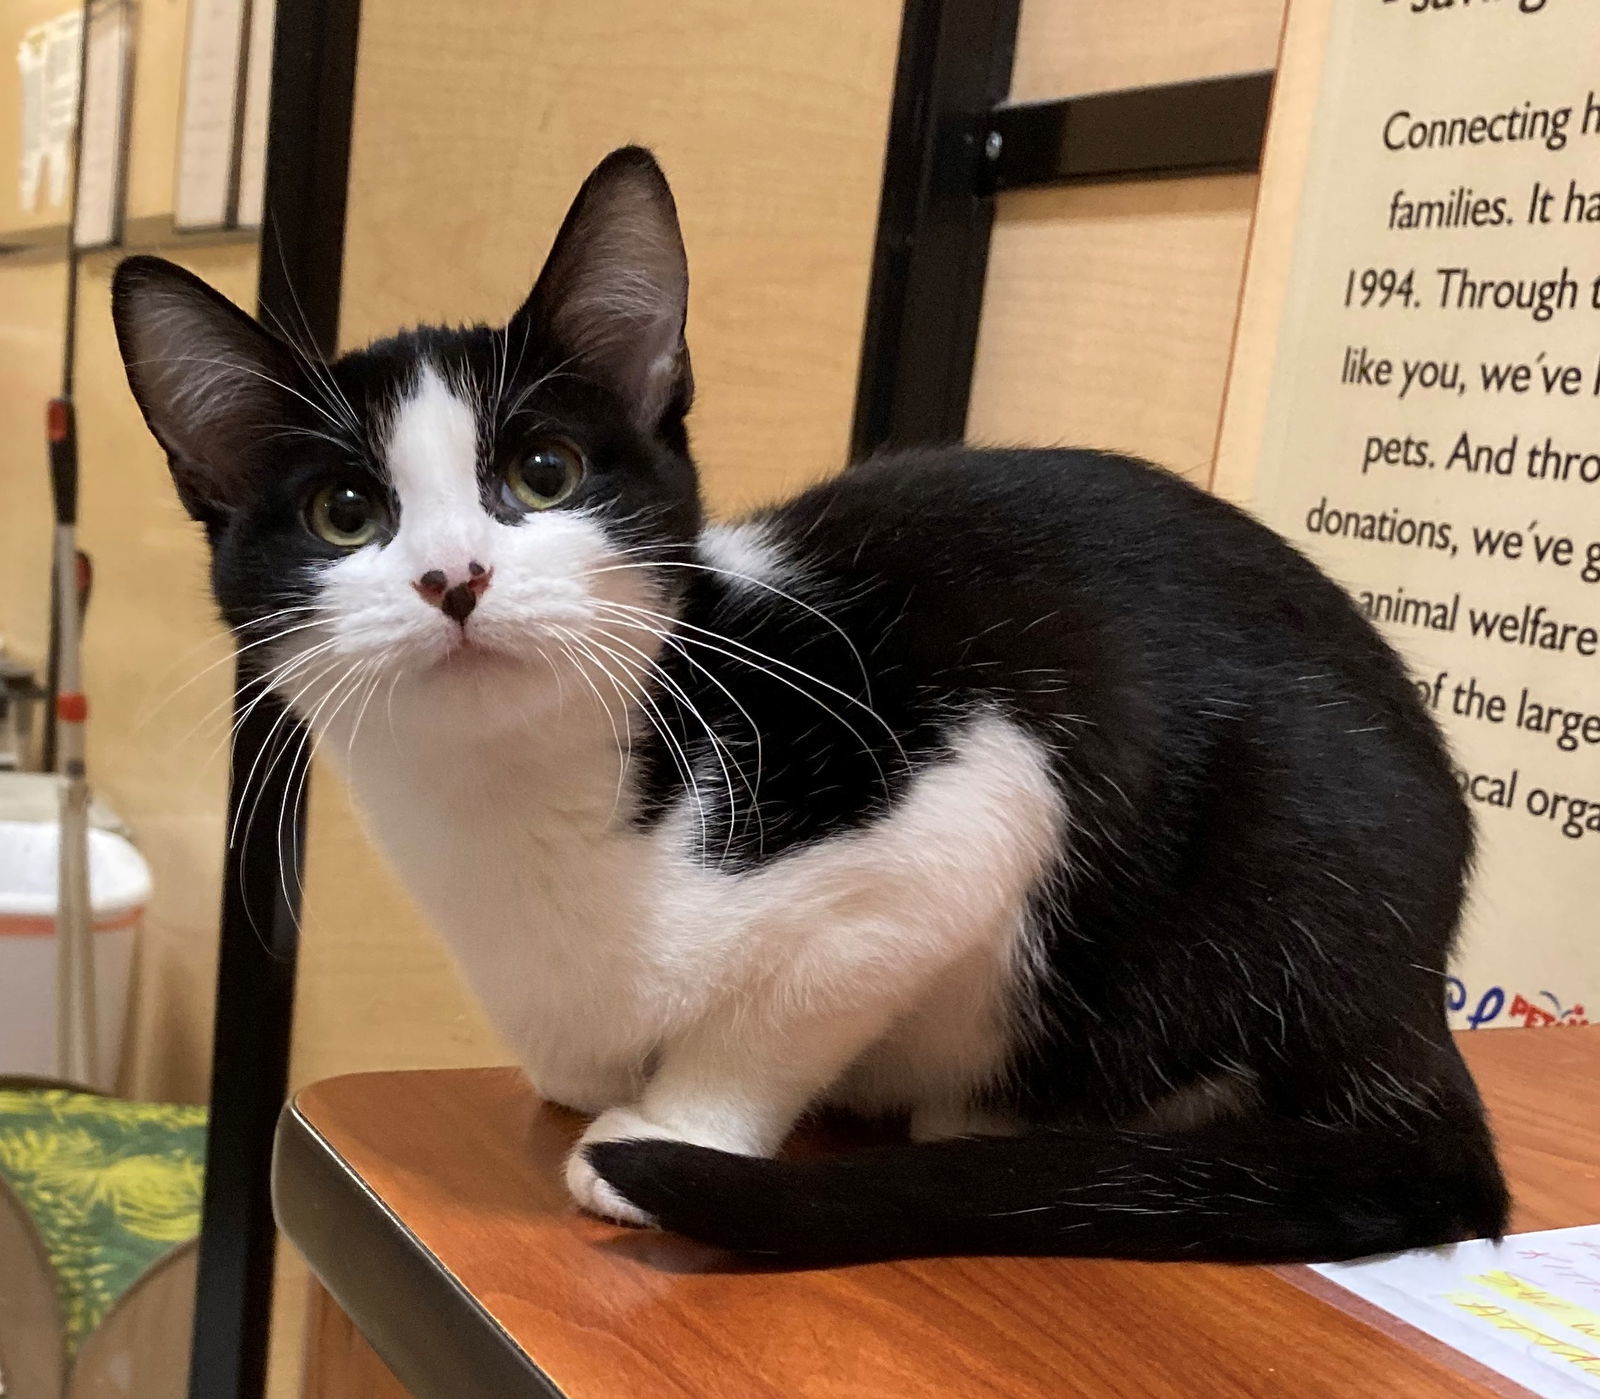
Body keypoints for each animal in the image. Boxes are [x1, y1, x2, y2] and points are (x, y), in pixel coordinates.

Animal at [118, 147, 1504, 1261]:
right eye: (345, 512)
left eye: (544, 472)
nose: (454, 577)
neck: (516, 804)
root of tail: (1412, 995)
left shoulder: (967, 801)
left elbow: (789, 1003)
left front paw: (667, 1128)